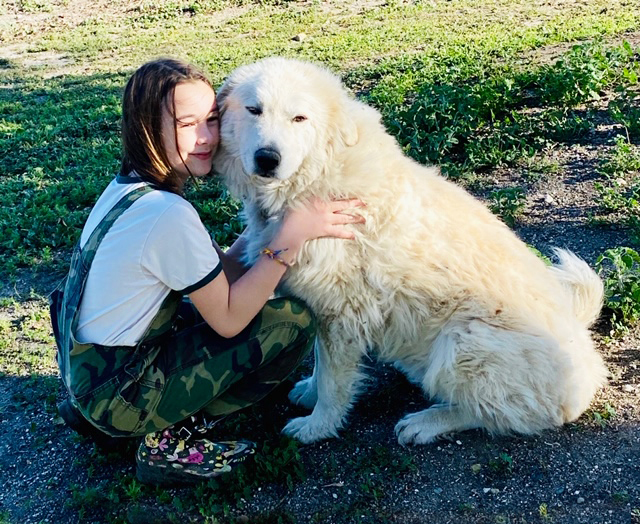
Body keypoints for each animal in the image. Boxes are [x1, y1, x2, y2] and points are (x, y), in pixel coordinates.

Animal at [212, 57, 608, 444]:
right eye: (254, 110)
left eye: (299, 118)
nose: (267, 158)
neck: (317, 175)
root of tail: (585, 351)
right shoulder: (322, 308)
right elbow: (319, 363)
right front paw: (309, 392)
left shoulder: (341, 313)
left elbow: (332, 380)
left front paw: (317, 426)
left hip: (463, 340)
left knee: (499, 414)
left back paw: (425, 423)